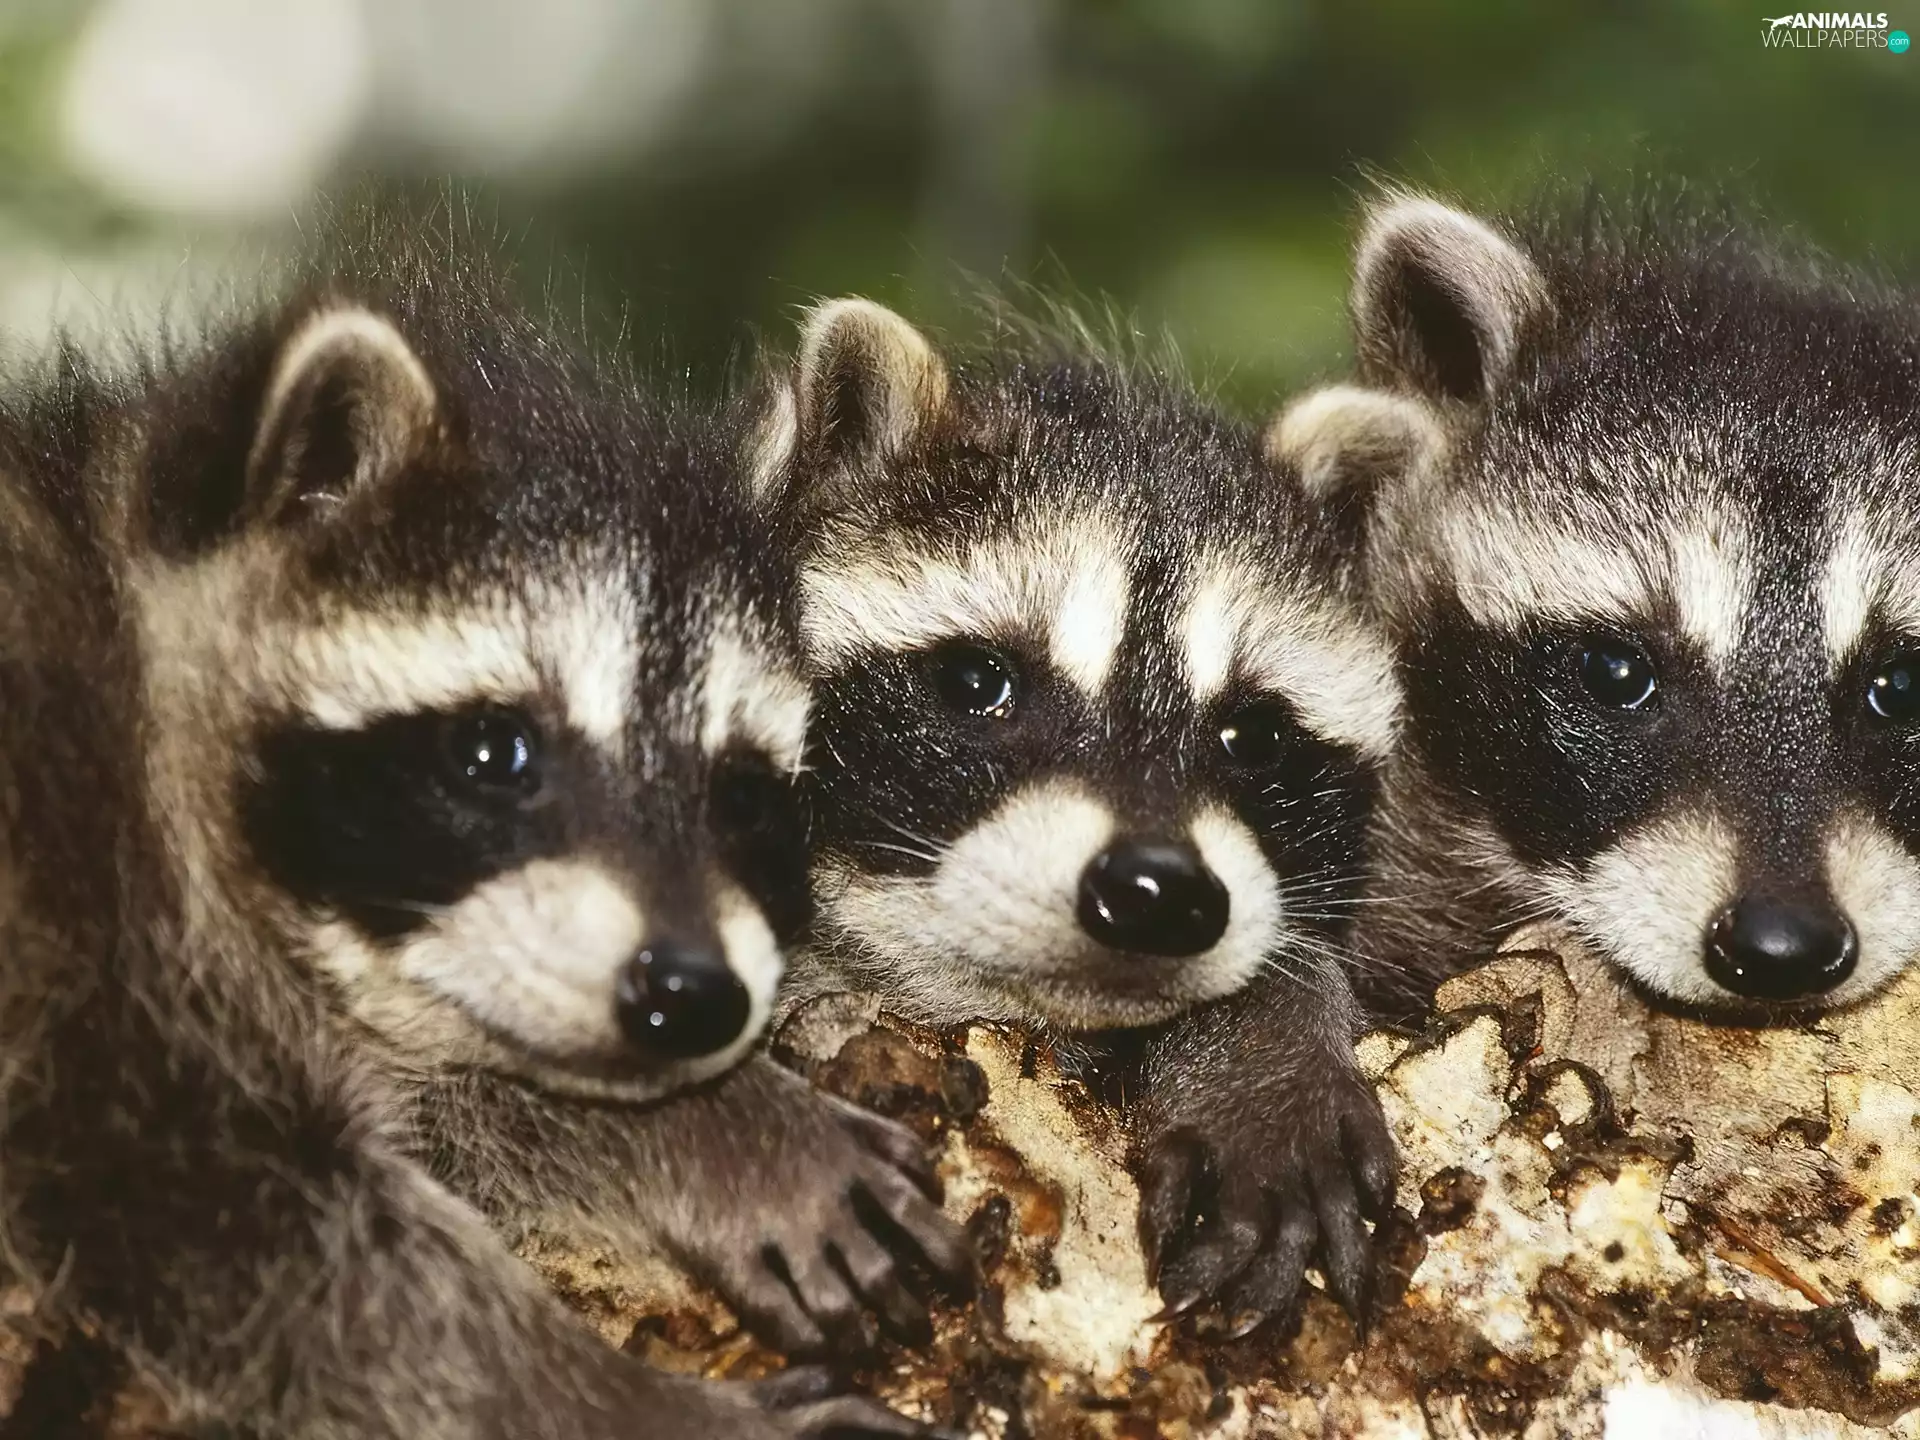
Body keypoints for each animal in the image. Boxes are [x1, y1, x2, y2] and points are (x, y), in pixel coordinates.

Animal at [0, 221, 954, 1436]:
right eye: (498, 753)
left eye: (743, 795)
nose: (694, 996)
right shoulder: (87, 922)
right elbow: (282, 1259)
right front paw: (627, 1401)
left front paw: (703, 1126)